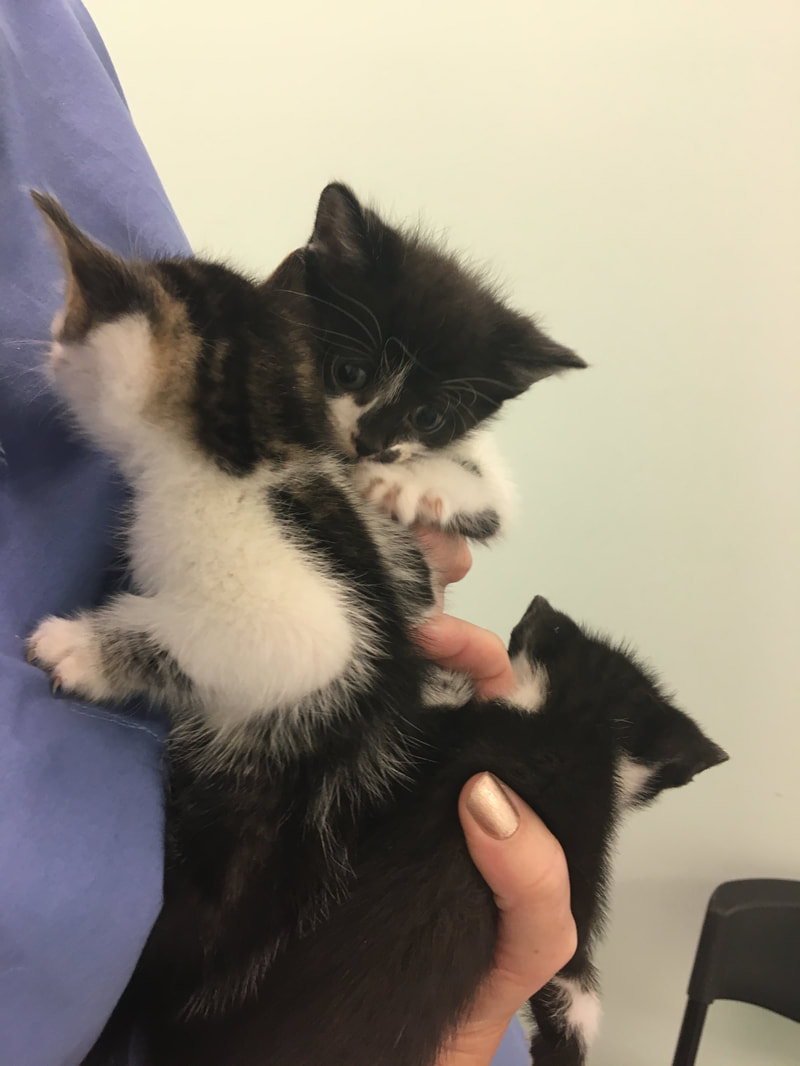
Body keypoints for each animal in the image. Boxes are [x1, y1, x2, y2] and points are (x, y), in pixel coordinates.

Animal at [26, 189, 584, 1057]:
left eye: (433, 411)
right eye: (344, 369)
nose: (46, 349)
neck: (251, 452)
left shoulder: (303, 622)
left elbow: (219, 640)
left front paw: (78, 649)